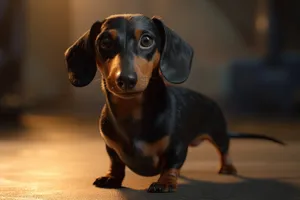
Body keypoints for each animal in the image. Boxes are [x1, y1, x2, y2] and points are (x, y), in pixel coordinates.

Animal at [64, 13, 284, 192]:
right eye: (105, 42)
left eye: (146, 40)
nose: (125, 79)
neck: (132, 113)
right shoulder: (111, 147)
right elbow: (116, 163)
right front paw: (112, 178)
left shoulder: (177, 145)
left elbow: (171, 164)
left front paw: (165, 182)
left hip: (218, 131)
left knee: (225, 149)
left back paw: (227, 167)